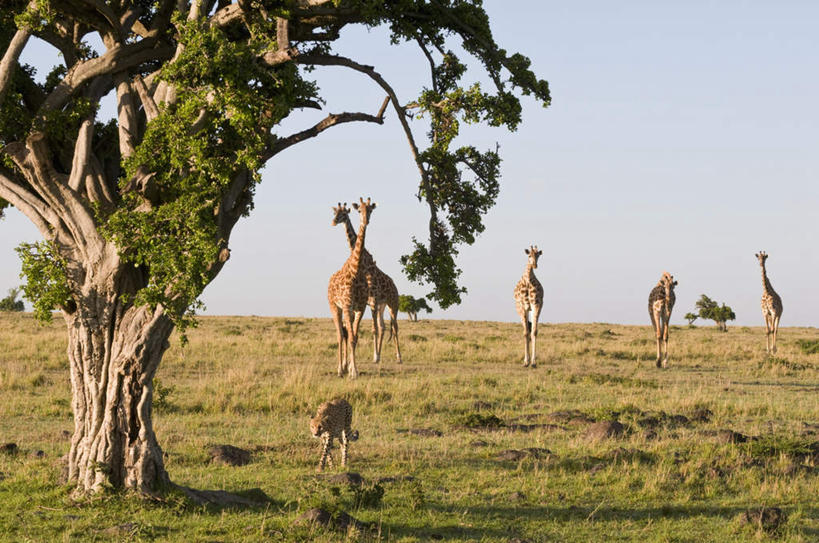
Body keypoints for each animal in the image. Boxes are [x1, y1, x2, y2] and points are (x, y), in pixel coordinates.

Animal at [326, 198, 378, 380]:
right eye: (359, 211)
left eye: (370, 210)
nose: (365, 220)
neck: (355, 271)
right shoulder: (348, 306)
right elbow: (349, 337)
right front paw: (349, 369)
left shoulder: (359, 308)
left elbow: (355, 337)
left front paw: (353, 370)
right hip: (334, 307)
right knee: (340, 335)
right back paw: (339, 370)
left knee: (349, 333)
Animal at [330, 204, 400, 366]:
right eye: (335, 212)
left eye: (343, 214)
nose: (333, 222)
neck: (364, 264)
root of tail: (396, 287)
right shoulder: (370, 303)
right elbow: (367, 329)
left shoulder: (372, 300)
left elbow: (373, 329)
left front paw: (375, 356)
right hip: (382, 306)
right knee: (383, 326)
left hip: (393, 305)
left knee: (395, 327)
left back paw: (399, 357)